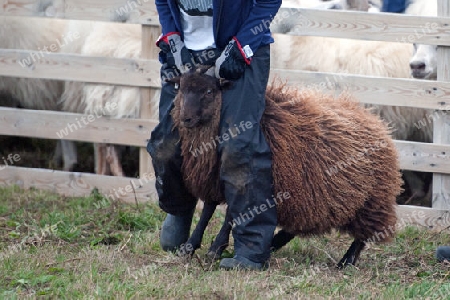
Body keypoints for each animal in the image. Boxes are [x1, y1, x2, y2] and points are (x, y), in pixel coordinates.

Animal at [171, 67, 402, 268]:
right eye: (181, 88)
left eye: (209, 91)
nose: (185, 118)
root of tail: (378, 122)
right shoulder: (213, 178)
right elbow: (207, 211)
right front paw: (189, 247)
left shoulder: (249, 180)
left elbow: (230, 215)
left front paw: (215, 250)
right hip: (318, 198)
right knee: (297, 228)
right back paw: (272, 246)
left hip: (372, 200)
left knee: (364, 235)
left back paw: (346, 262)